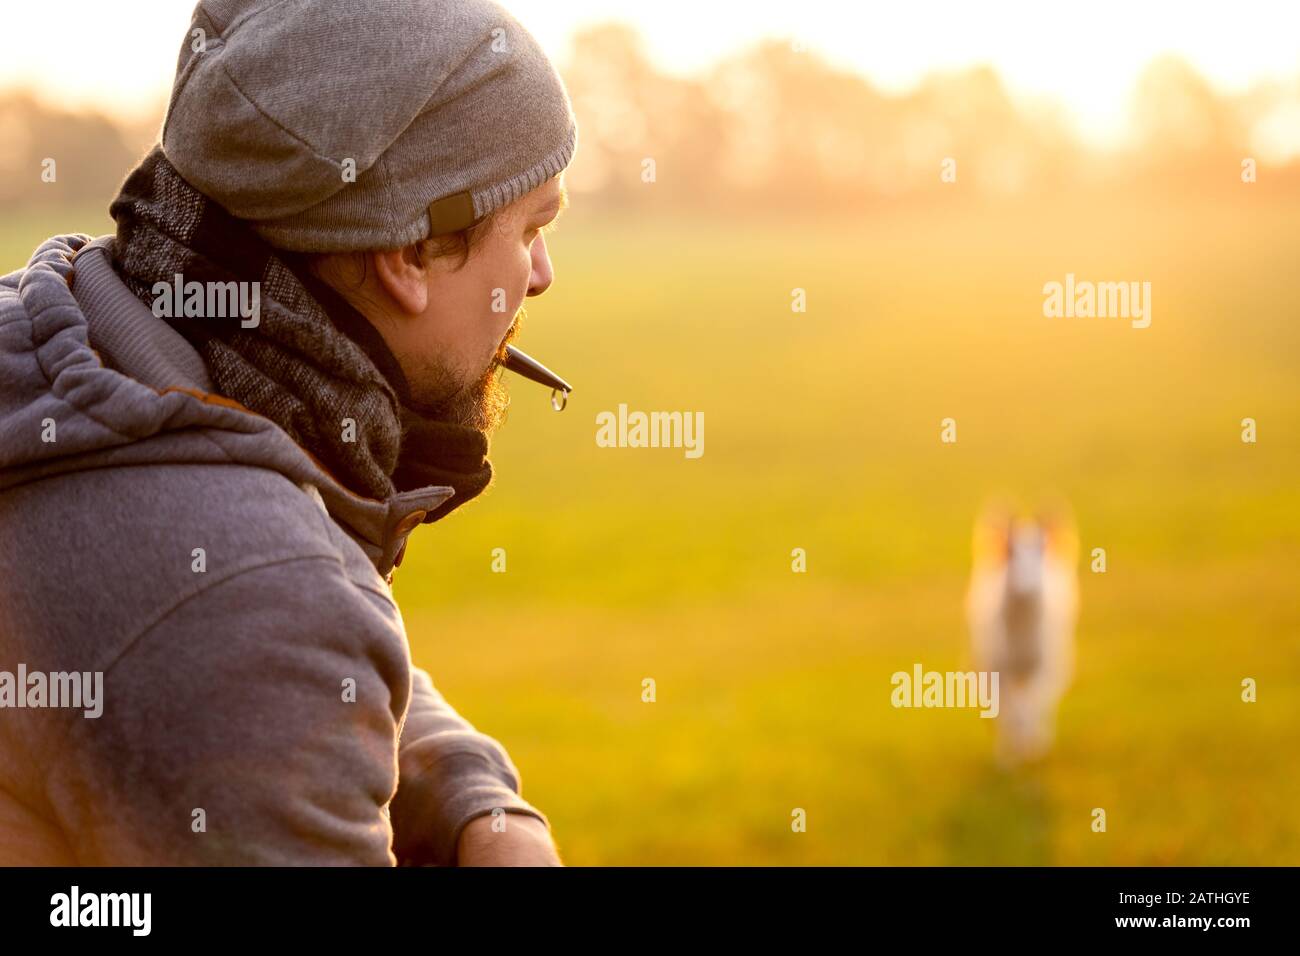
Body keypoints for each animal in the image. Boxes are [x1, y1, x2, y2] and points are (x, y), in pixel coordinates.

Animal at [961, 504, 1081, 764]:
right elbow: (1009, 712)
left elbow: (1032, 708)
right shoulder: (997, 668)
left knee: (1041, 705)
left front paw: (1031, 749)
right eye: (1009, 551)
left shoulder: (1044, 666)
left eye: (1042, 550)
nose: (1027, 587)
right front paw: (1008, 759)